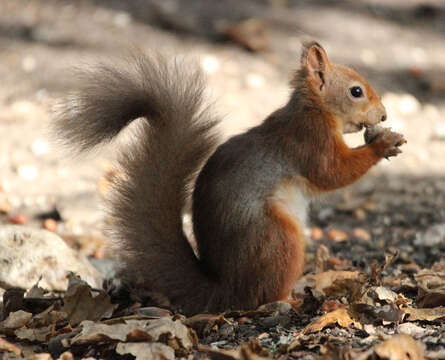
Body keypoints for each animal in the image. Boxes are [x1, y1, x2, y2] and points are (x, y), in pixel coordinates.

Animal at [53, 41, 404, 316]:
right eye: (356, 91)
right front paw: (382, 144)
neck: (313, 108)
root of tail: (226, 289)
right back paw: (290, 302)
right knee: (261, 299)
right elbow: (332, 172)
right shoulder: (309, 141)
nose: (384, 115)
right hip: (277, 237)